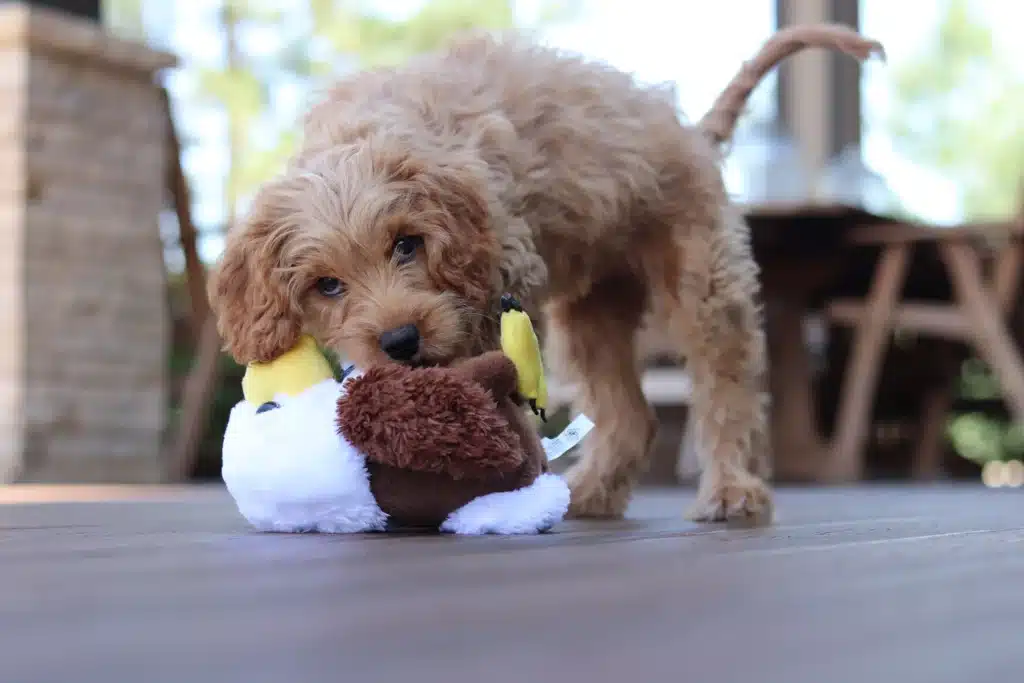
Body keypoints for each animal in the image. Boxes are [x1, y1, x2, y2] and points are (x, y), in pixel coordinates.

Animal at [207, 24, 880, 520]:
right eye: (327, 285)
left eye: (407, 245)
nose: (400, 341)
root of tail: (689, 131)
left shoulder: (499, 280)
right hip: (591, 318)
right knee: (631, 417)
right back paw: (590, 494)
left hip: (703, 285)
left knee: (727, 388)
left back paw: (732, 489)